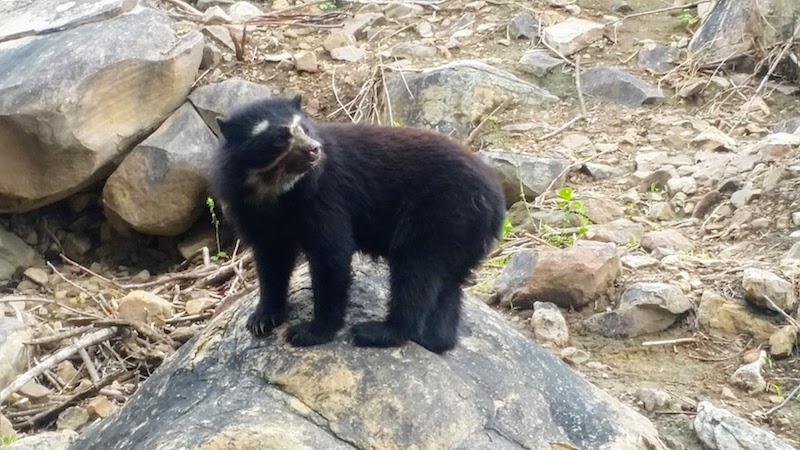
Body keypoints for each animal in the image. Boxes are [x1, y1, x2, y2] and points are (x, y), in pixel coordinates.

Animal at [209, 95, 504, 354]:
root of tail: (494, 199)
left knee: (415, 272)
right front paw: (261, 320)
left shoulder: (323, 196)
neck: (274, 190)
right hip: (460, 232)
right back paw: (435, 339)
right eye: (280, 137)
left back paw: (378, 332)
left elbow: (331, 253)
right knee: (446, 286)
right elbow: (271, 260)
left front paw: (308, 332)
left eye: (303, 128)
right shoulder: (250, 211)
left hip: (440, 215)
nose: (314, 149)